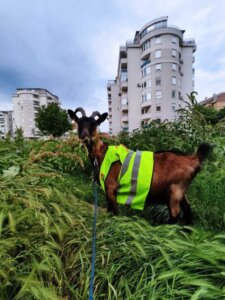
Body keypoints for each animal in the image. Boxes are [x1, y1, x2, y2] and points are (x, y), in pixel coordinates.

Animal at [68, 108, 211, 225]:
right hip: (182, 191)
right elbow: (109, 210)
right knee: (187, 208)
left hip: (174, 190)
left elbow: (114, 212)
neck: (101, 154)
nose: (85, 137)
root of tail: (193, 158)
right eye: (79, 123)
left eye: (94, 124)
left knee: (174, 215)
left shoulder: (110, 187)